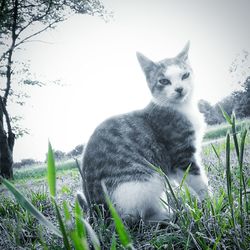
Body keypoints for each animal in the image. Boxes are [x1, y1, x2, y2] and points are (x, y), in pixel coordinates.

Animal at [80, 42, 209, 224]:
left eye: (185, 75)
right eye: (163, 81)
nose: (179, 89)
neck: (182, 108)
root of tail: (98, 213)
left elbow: (185, 183)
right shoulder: (181, 155)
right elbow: (199, 181)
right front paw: (210, 203)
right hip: (145, 181)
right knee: (139, 217)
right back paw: (169, 215)